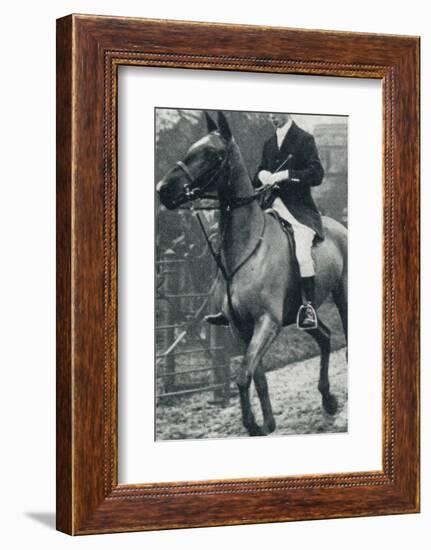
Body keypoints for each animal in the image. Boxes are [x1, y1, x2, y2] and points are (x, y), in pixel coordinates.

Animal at [157, 113, 350, 440]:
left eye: (213, 154)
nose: (163, 189)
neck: (247, 248)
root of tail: (340, 226)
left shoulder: (267, 322)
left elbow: (243, 375)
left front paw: (252, 424)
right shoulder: (241, 326)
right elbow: (253, 375)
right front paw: (267, 423)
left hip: (343, 297)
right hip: (301, 312)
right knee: (325, 337)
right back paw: (328, 399)